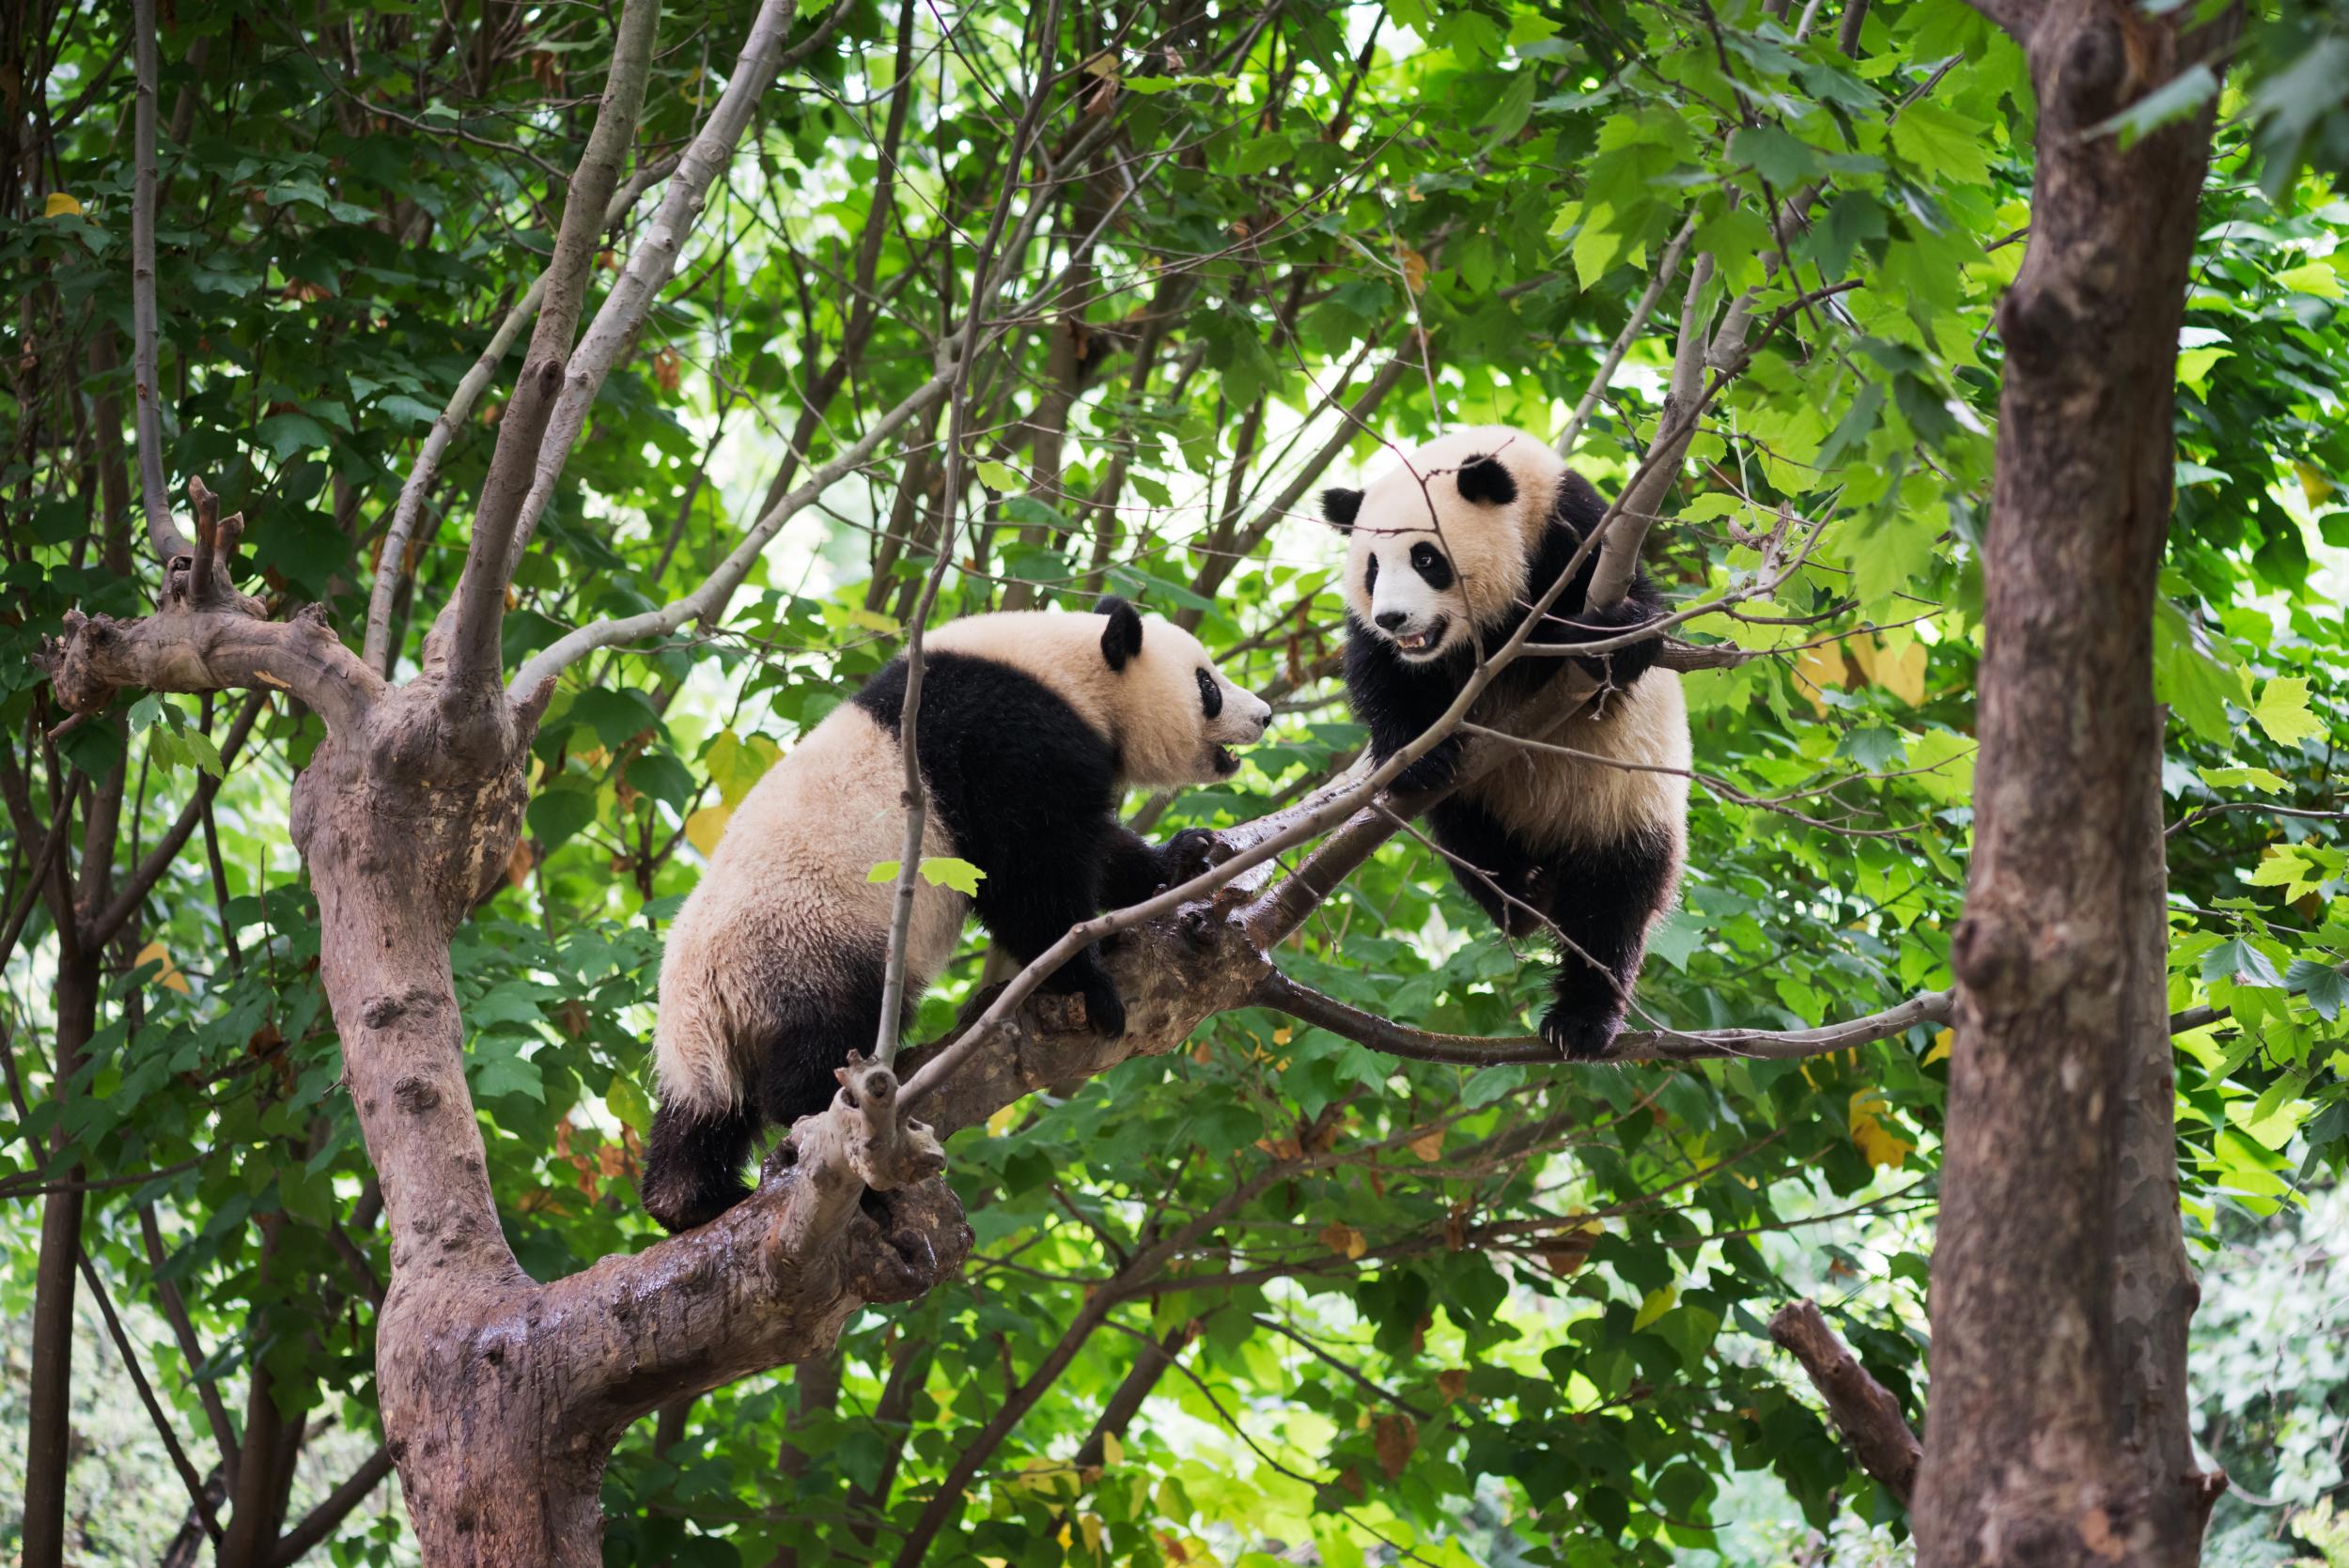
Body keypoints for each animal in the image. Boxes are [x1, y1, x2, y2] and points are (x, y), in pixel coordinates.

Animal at [639, 594, 1268, 1230]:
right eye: (1208, 684)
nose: (1264, 716)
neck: (1066, 673)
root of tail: (702, 1002)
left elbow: (1089, 850)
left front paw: (1184, 857)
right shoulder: (1005, 736)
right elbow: (1029, 868)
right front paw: (1089, 987)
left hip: (715, 1031)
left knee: (703, 1114)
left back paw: (689, 1201)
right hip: (809, 944)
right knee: (823, 1042)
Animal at [1325, 425, 1691, 1051]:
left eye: (1426, 558)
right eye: (1371, 568)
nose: (1394, 618)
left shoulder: (1580, 536)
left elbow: (1638, 625)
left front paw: (1606, 641)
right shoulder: (1385, 646)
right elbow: (1383, 674)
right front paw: (1421, 755)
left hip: (1627, 803)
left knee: (1613, 906)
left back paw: (1581, 1019)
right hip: (1480, 803)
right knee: (1466, 835)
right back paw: (1519, 893)